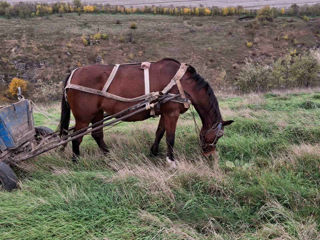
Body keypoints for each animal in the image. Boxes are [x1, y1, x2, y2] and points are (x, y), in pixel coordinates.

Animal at [59, 58, 232, 167]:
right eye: (218, 136)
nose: (210, 155)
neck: (182, 83)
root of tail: (73, 73)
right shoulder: (172, 113)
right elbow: (170, 138)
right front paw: (171, 161)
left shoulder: (165, 112)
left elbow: (160, 132)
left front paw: (154, 152)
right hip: (84, 116)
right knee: (77, 137)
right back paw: (76, 160)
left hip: (97, 113)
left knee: (97, 135)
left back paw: (109, 155)